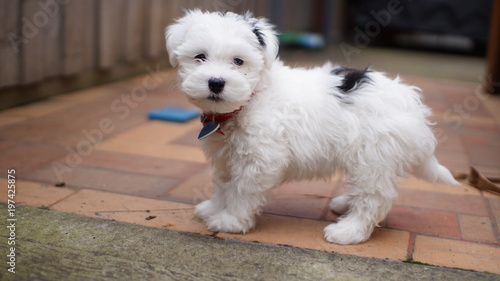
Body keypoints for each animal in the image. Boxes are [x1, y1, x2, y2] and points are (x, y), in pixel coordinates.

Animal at [166, 10, 458, 243]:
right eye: (199, 57)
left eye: (238, 61)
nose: (216, 83)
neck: (251, 98)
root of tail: (411, 104)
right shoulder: (226, 158)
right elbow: (222, 185)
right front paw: (214, 208)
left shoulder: (259, 160)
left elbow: (241, 190)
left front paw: (230, 221)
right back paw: (345, 205)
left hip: (373, 157)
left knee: (375, 198)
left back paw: (349, 231)